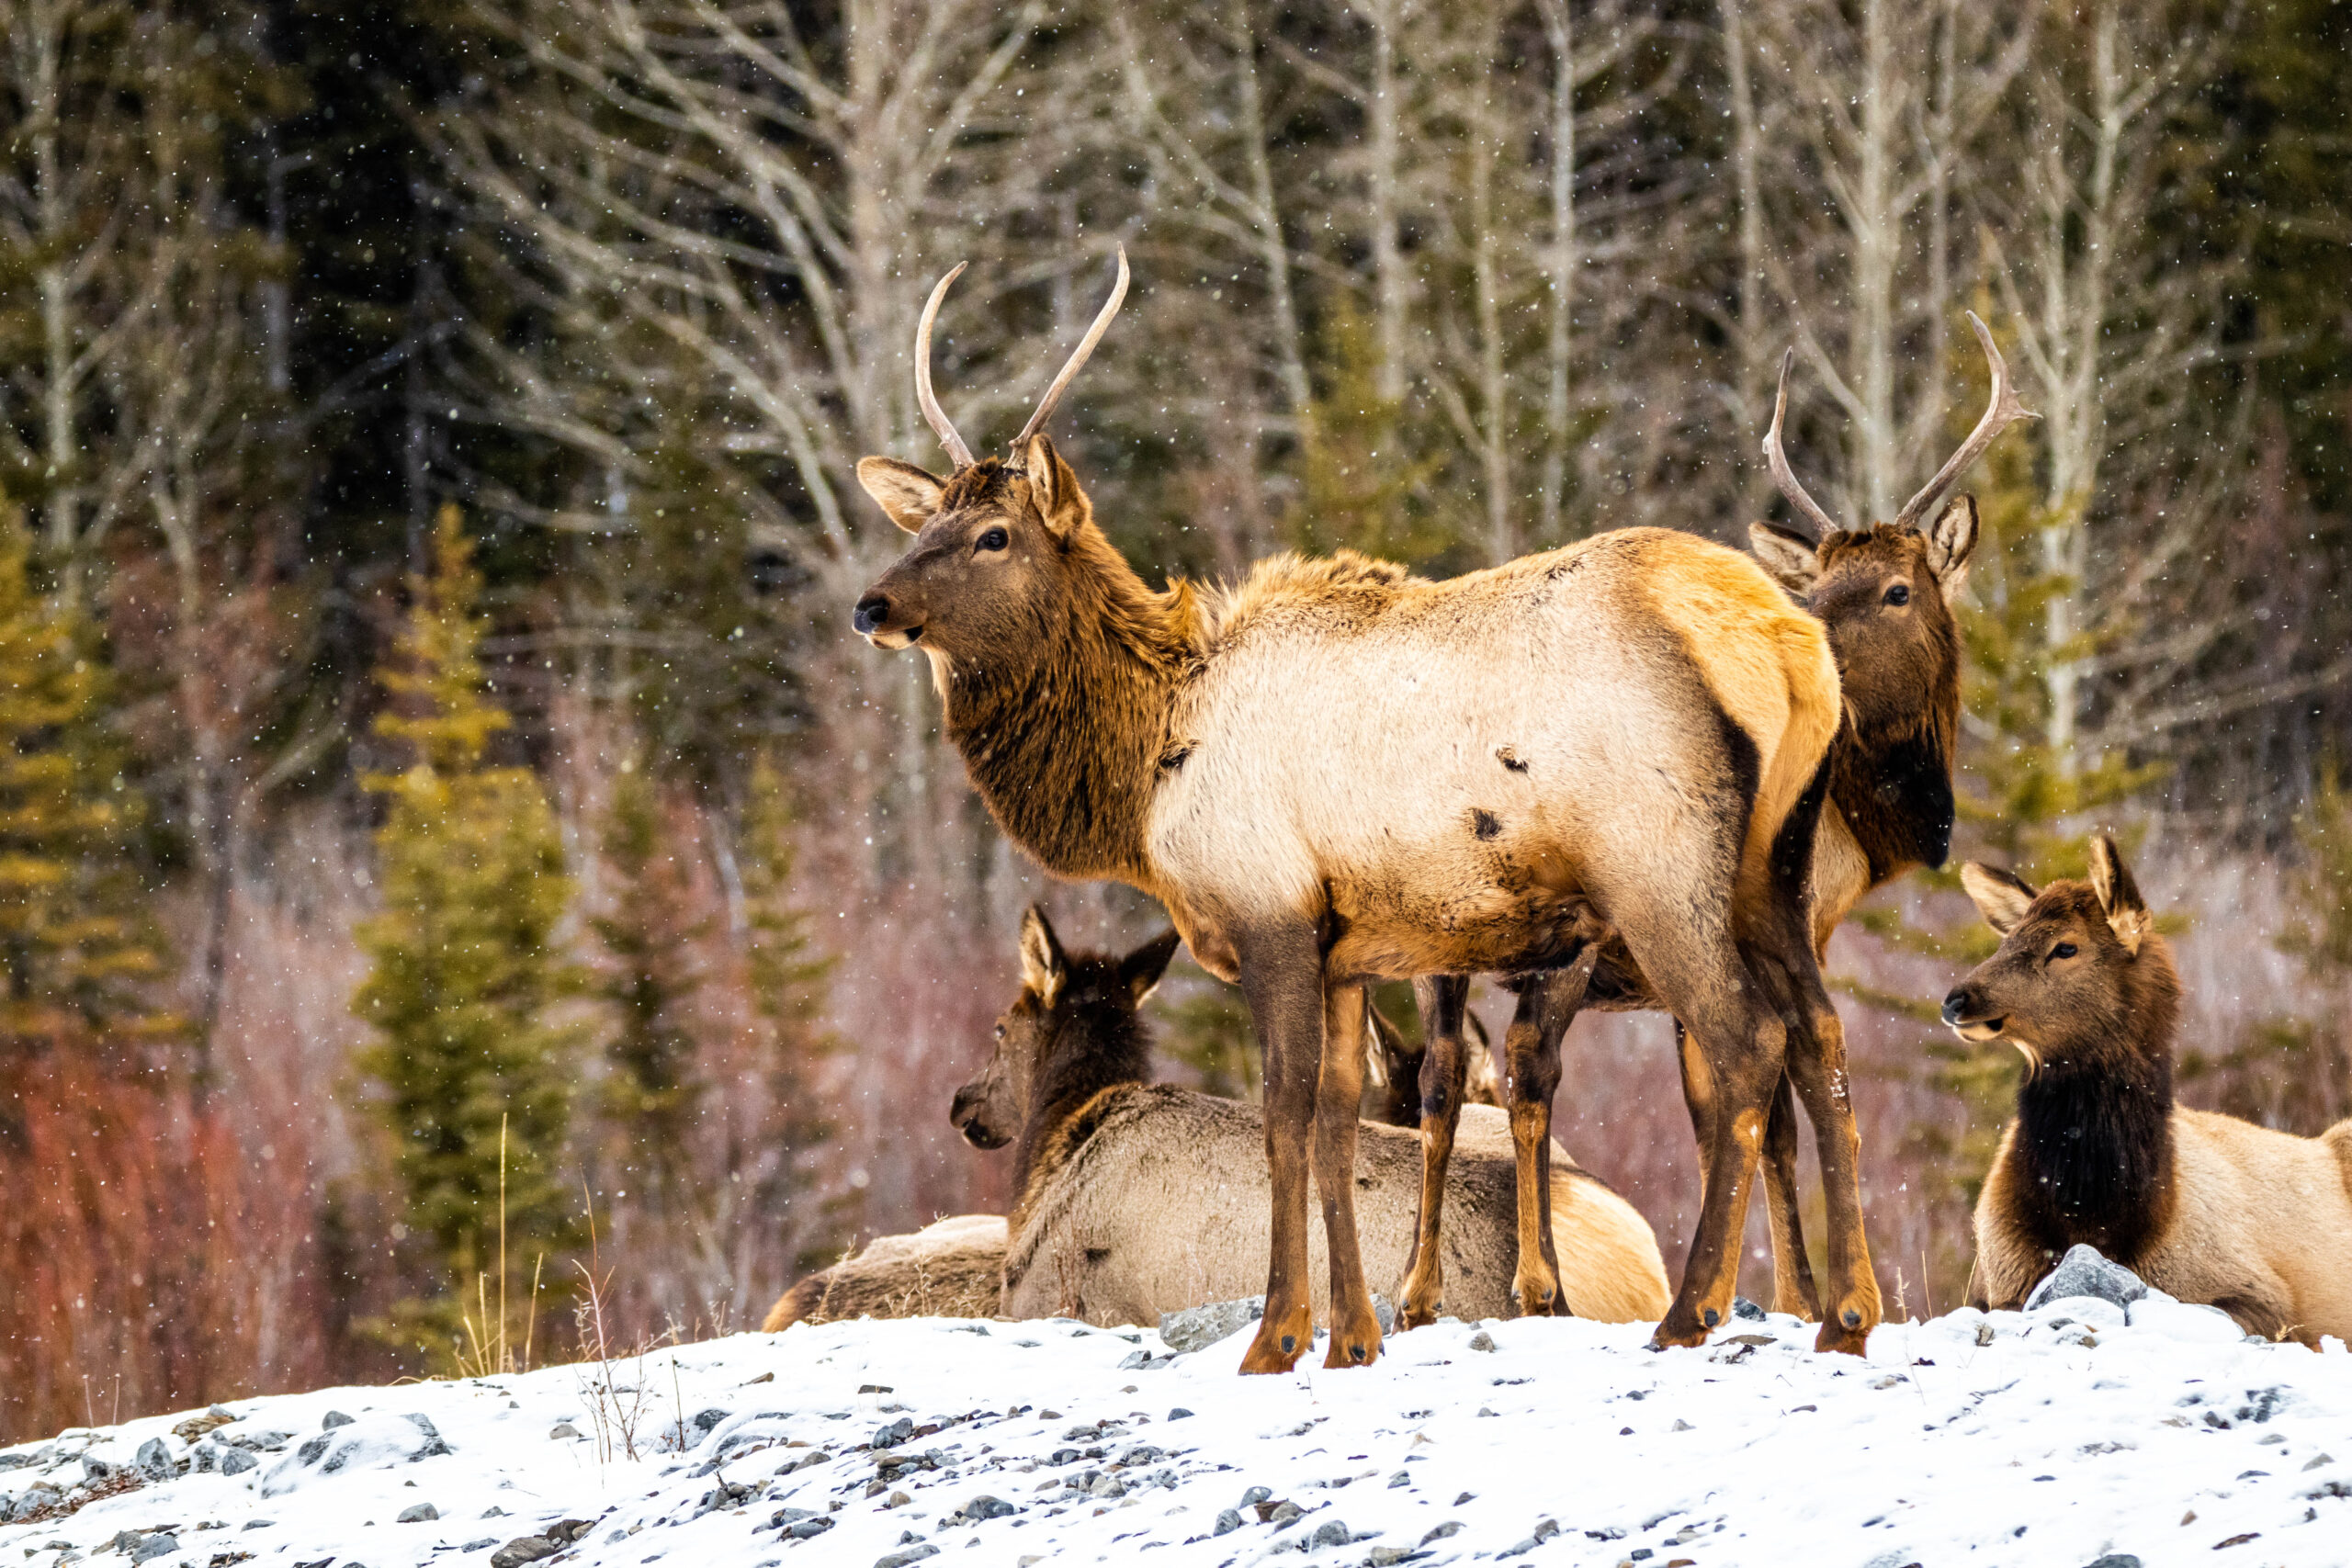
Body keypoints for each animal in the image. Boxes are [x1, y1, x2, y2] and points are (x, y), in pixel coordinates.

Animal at [1392, 321, 2041, 1335]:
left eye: (1898, 589)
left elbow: (1725, 1110)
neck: (1867, 833)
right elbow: (1767, 1113)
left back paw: (1430, 1294)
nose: (1812, 650)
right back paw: (1529, 1290)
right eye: (1815, 589)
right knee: (1519, 1069)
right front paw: (1787, 1296)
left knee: (1446, 1076)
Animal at [1938, 841, 2352, 1344]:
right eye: (2006, 940)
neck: (2089, 1211)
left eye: (2066, 947)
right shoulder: (1994, 1279)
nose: (1956, 1000)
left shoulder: (2260, 1294)